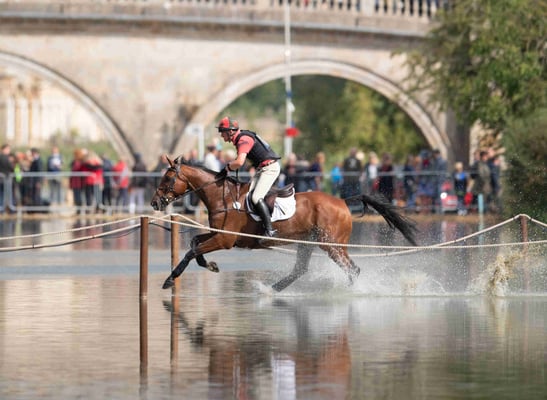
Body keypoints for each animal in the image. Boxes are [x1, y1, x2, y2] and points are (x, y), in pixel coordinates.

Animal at [150, 155, 416, 290]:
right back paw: (271, 291)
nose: (154, 202)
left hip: (331, 244)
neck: (221, 196)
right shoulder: (219, 235)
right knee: (301, 269)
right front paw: (211, 265)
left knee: (352, 269)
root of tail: (342, 201)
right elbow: (194, 243)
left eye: (167, 178)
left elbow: (191, 251)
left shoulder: (225, 239)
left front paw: (169, 280)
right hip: (309, 242)